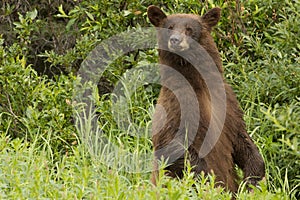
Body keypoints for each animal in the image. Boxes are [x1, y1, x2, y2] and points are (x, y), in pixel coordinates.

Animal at [148, 5, 264, 194]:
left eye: (189, 28)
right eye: (170, 27)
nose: (175, 40)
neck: (200, 85)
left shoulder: (228, 103)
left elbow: (242, 137)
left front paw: (252, 180)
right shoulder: (176, 105)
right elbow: (173, 144)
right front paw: (207, 180)